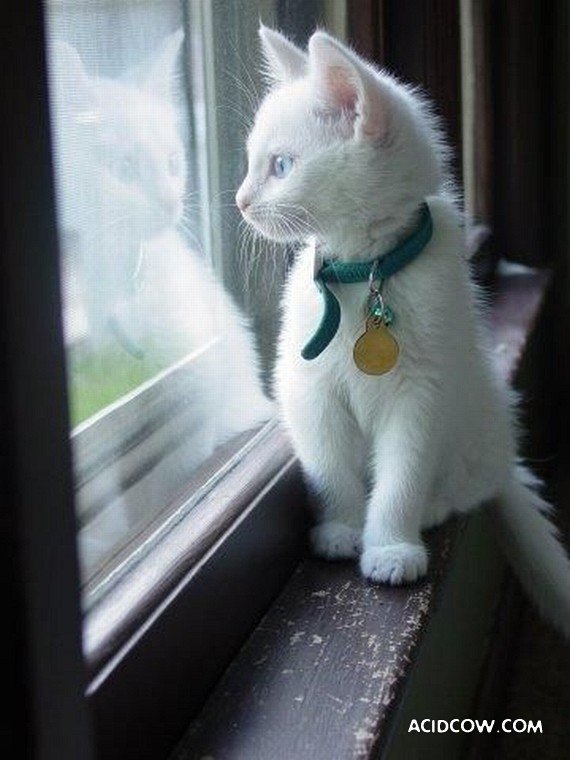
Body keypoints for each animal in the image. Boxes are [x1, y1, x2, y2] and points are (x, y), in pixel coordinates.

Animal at [236, 26, 570, 636]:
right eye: (252, 163)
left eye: (281, 166)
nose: (240, 201)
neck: (363, 272)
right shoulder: (309, 390)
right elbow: (328, 466)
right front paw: (342, 528)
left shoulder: (423, 397)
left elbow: (402, 476)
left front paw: (391, 545)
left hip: (479, 413)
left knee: (469, 485)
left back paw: (435, 507)